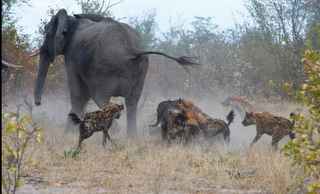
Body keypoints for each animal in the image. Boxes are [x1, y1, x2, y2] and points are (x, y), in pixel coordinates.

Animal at [33, 8, 198, 137]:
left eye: (46, 32)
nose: (38, 103)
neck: (71, 20)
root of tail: (133, 49)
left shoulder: (72, 58)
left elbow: (79, 94)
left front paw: (68, 135)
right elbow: (84, 95)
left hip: (105, 67)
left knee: (100, 96)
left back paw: (115, 131)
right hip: (142, 68)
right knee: (132, 101)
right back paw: (131, 138)